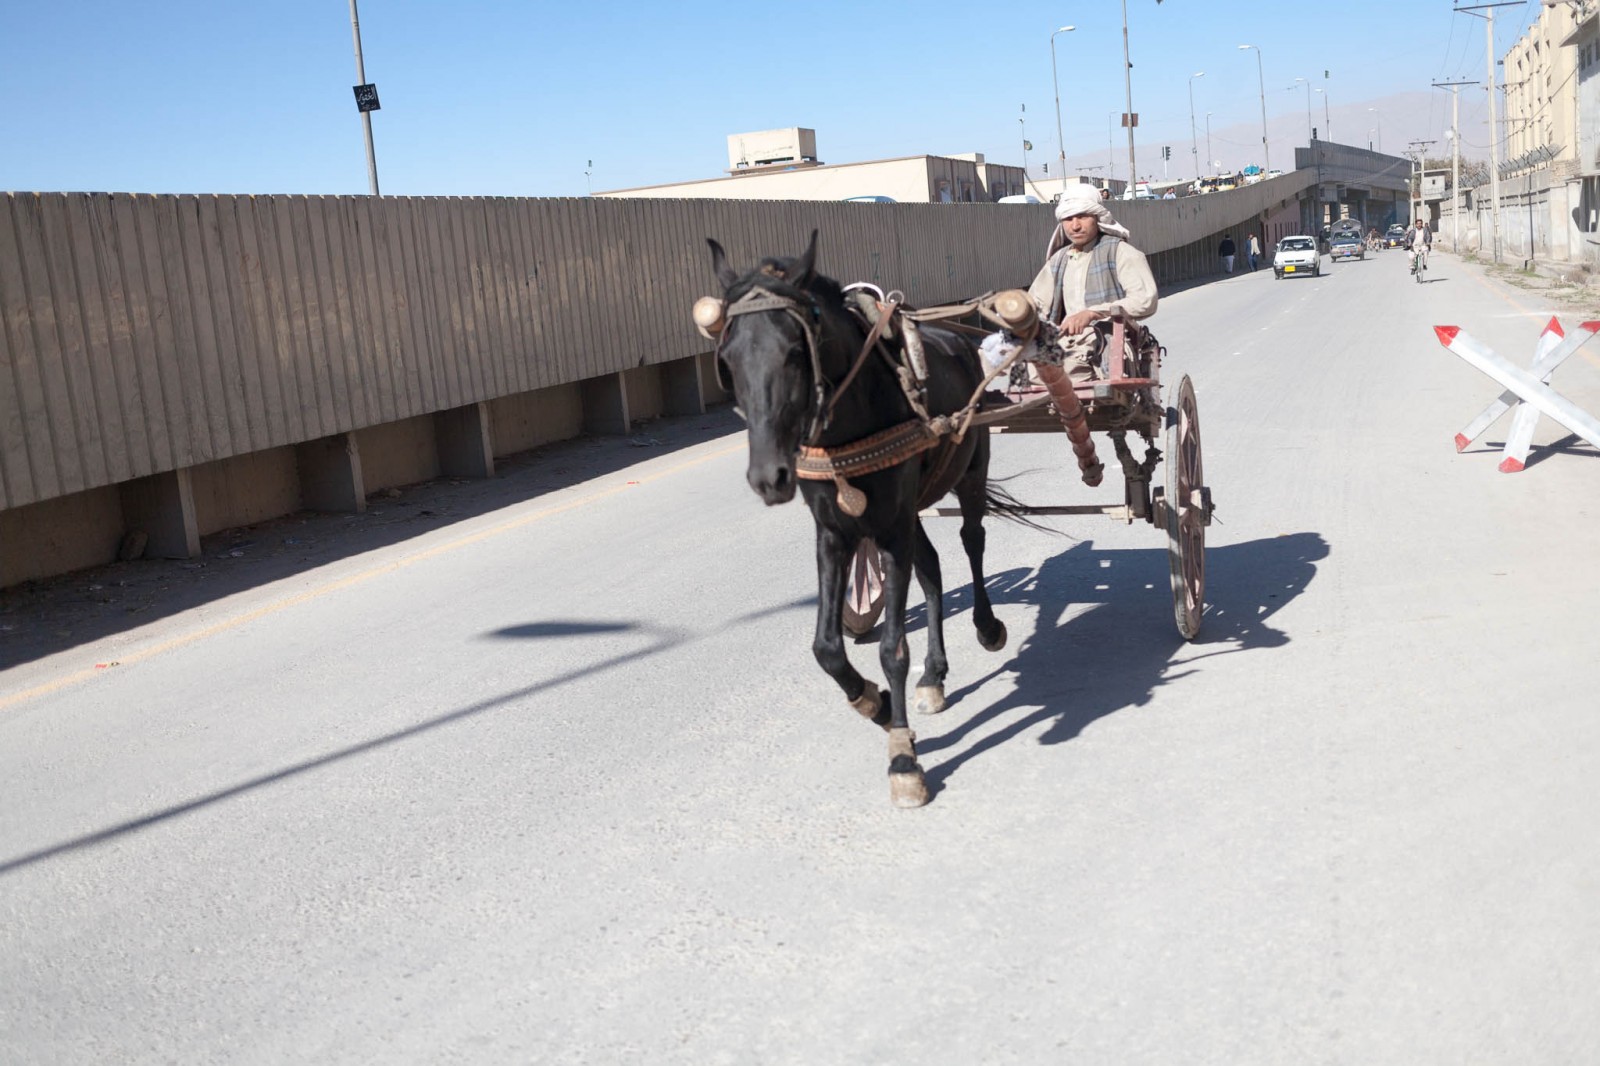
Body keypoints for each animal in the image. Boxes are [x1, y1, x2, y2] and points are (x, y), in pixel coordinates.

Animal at [710, 232, 1017, 806]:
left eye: (794, 352)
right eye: (729, 359)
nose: (768, 476)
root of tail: (958, 335)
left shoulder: (890, 528)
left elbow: (893, 646)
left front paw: (903, 758)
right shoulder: (835, 531)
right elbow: (826, 647)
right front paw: (874, 703)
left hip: (969, 468)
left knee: (972, 540)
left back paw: (987, 626)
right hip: (909, 509)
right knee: (932, 567)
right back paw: (934, 676)